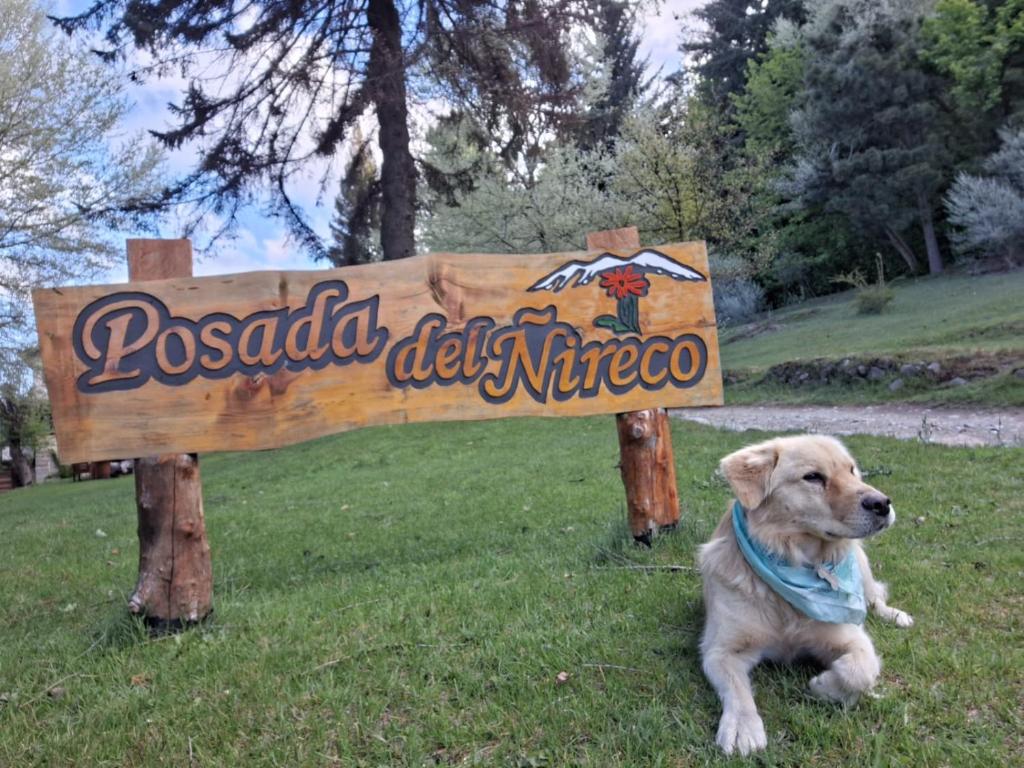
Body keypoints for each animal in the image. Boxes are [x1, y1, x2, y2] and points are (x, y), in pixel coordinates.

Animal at [704, 436, 913, 753]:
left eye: (852, 471)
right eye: (813, 477)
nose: (882, 504)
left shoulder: (851, 636)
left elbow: (861, 670)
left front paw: (825, 686)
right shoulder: (721, 649)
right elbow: (737, 688)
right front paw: (742, 726)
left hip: (861, 565)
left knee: (875, 597)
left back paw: (896, 615)